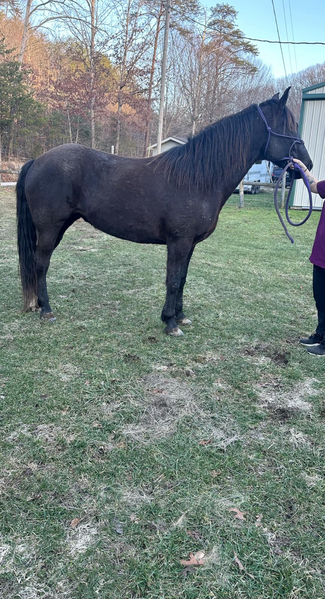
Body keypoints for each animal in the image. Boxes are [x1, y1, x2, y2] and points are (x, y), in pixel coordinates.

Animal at [17, 86, 312, 336]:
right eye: (288, 126)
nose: (306, 164)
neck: (197, 178)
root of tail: (38, 160)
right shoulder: (178, 242)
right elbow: (172, 280)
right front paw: (170, 323)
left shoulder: (190, 244)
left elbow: (181, 279)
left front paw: (180, 316)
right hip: (49, 228)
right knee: (41, 263)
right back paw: (46, 309)